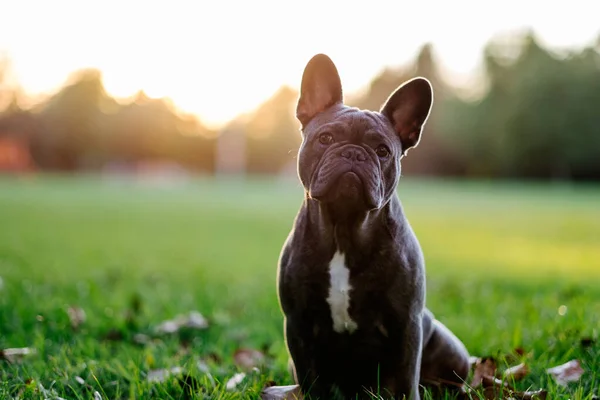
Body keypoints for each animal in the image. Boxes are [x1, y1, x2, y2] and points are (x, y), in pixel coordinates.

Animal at [276, 54, 468, 400]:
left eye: (382, 150)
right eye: (326, 139)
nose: (353, 152)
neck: (344, 228)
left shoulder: (406, 323)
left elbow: (405, 377)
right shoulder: (298, 324)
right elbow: (311, 377)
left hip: (448, 348)